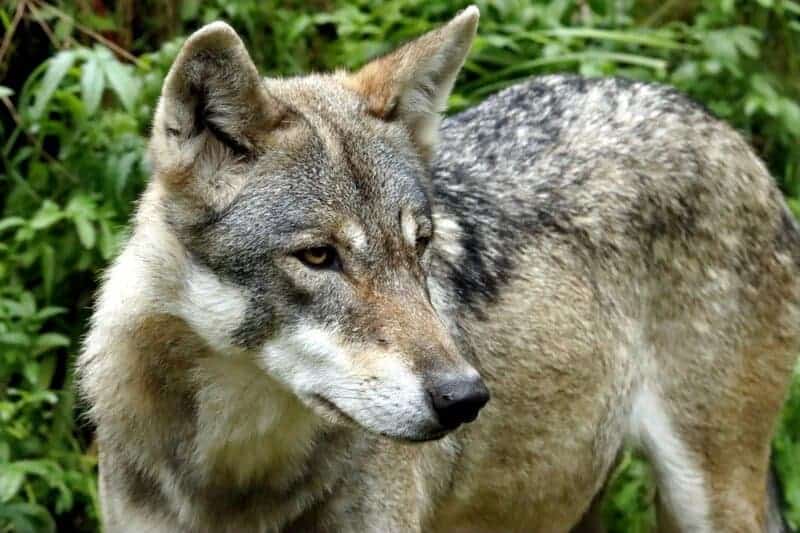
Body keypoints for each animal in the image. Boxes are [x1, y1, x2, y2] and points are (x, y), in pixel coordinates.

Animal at [78, 5, 800, 532]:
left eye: (420, 245)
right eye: (319, 256)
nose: (465, 398)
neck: (234, 483)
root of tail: (723, 128)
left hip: (706, 495)